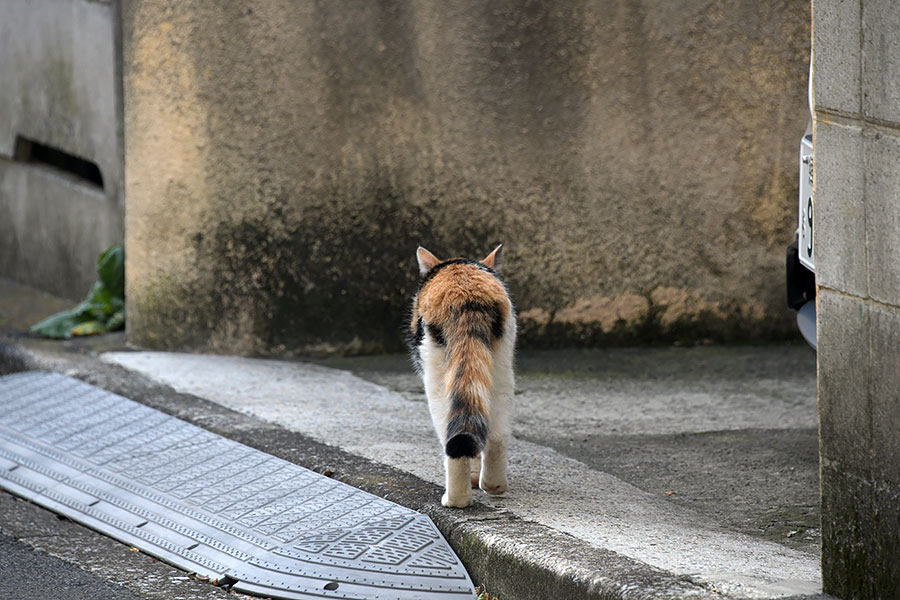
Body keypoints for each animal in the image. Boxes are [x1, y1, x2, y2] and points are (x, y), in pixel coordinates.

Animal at [406, 244, 512, 506]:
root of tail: (466, 294)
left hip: (436, 375)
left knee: (450, 430)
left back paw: (456, 499)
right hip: (502, 364)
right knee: (496, 431)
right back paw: (493, 485)